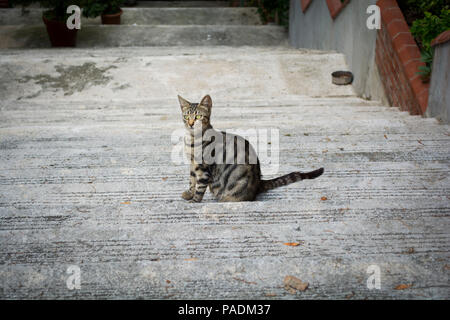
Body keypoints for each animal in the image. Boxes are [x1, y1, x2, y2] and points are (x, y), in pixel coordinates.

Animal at [178, 94, 324, 202]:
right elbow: (192, 180)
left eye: (198, 116)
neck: (192, 139)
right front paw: (189, 194)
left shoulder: (203, 168)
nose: (191, 124)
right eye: (186, 116)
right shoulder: (193, 165)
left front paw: (194, 200)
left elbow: (200, 186)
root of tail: (259, 182)